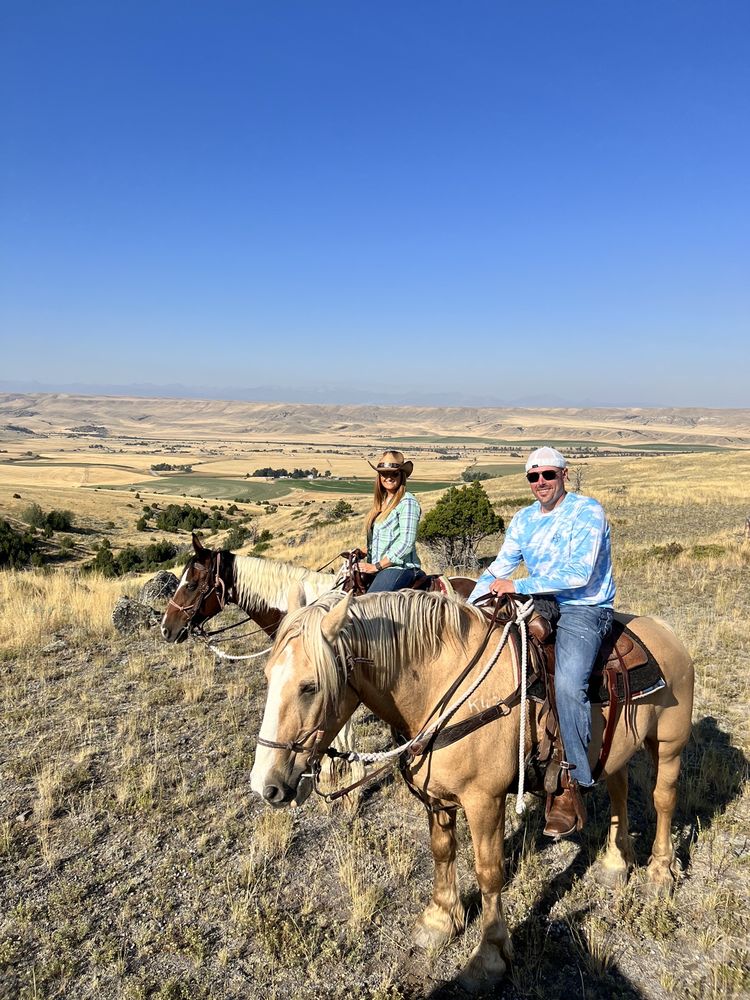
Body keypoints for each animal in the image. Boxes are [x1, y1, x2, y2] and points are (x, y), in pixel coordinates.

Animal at [249, 589, 694, 989]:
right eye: (268, 676)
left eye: (309, 686)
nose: (265, 786)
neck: (445, 688)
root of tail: (666, 631)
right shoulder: (436, 798)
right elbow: (442, 852)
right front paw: (439, 921)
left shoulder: (485, 801)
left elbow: (489, 871)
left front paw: (489, 957)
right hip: (617, 748)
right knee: (619, 789)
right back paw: (616, 863)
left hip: (668, 745)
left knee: (664, 800)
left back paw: (659, 873)